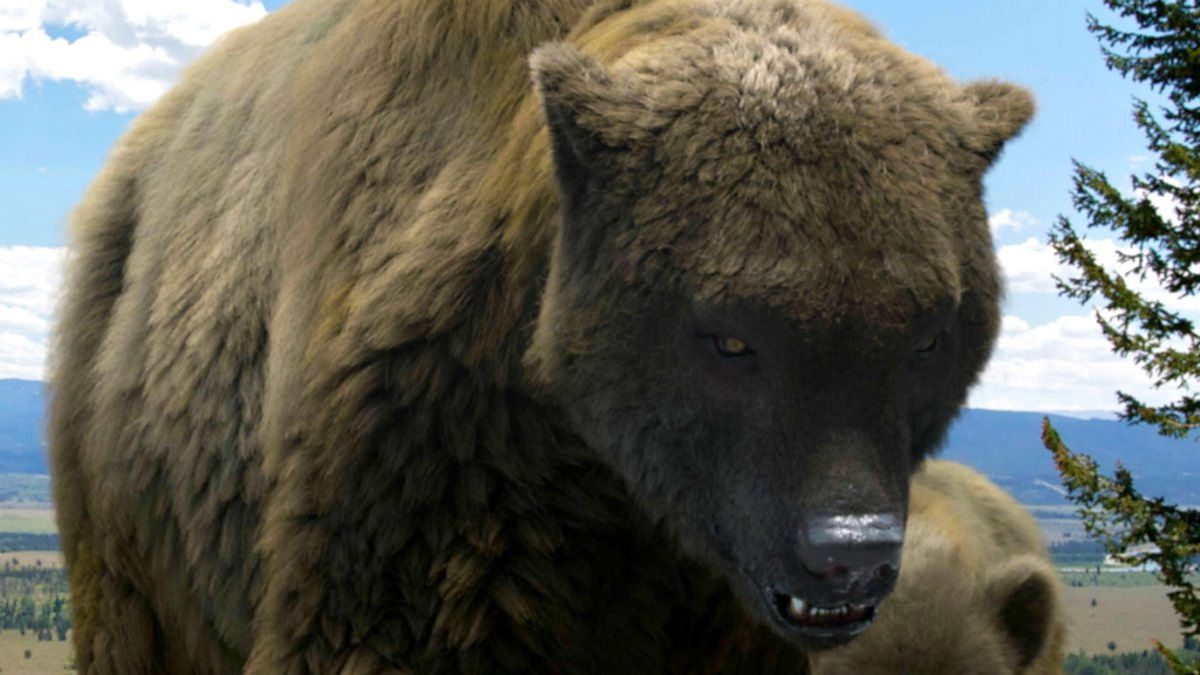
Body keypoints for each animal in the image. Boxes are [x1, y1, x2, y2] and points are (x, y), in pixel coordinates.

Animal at [48, 0, 1033, 672]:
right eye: (732, 339)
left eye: (925, 335)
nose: (850, 552)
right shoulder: (428, 462)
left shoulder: (712, 576)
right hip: (127, 496)